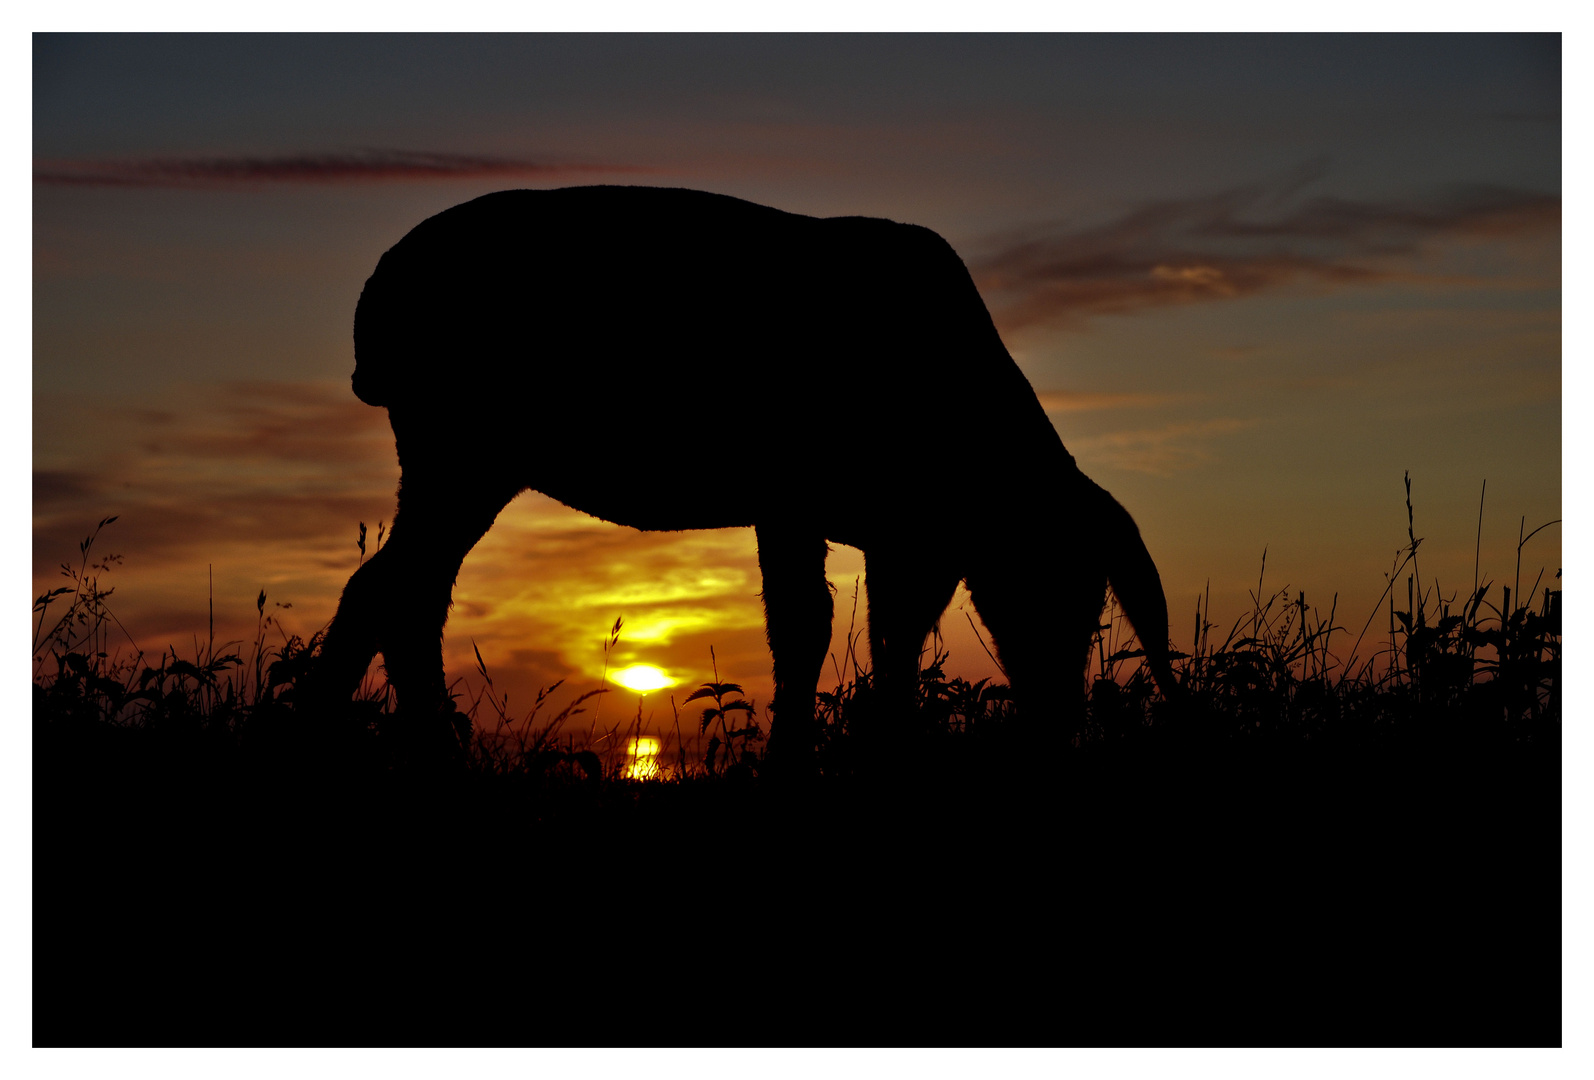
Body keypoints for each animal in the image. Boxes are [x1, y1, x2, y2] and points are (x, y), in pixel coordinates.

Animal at [314, 186, 1185, 761]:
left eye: (1098, 597)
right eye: (1050, 579)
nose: (1059, 724)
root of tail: (375, 299)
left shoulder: (909, 540)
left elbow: (893, 638)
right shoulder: (797, 500)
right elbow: (808, 627)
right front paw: (793, 763)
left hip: (456, 458)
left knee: (383, 589)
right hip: (460, 446)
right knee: (402, 593)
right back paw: (426, 750)